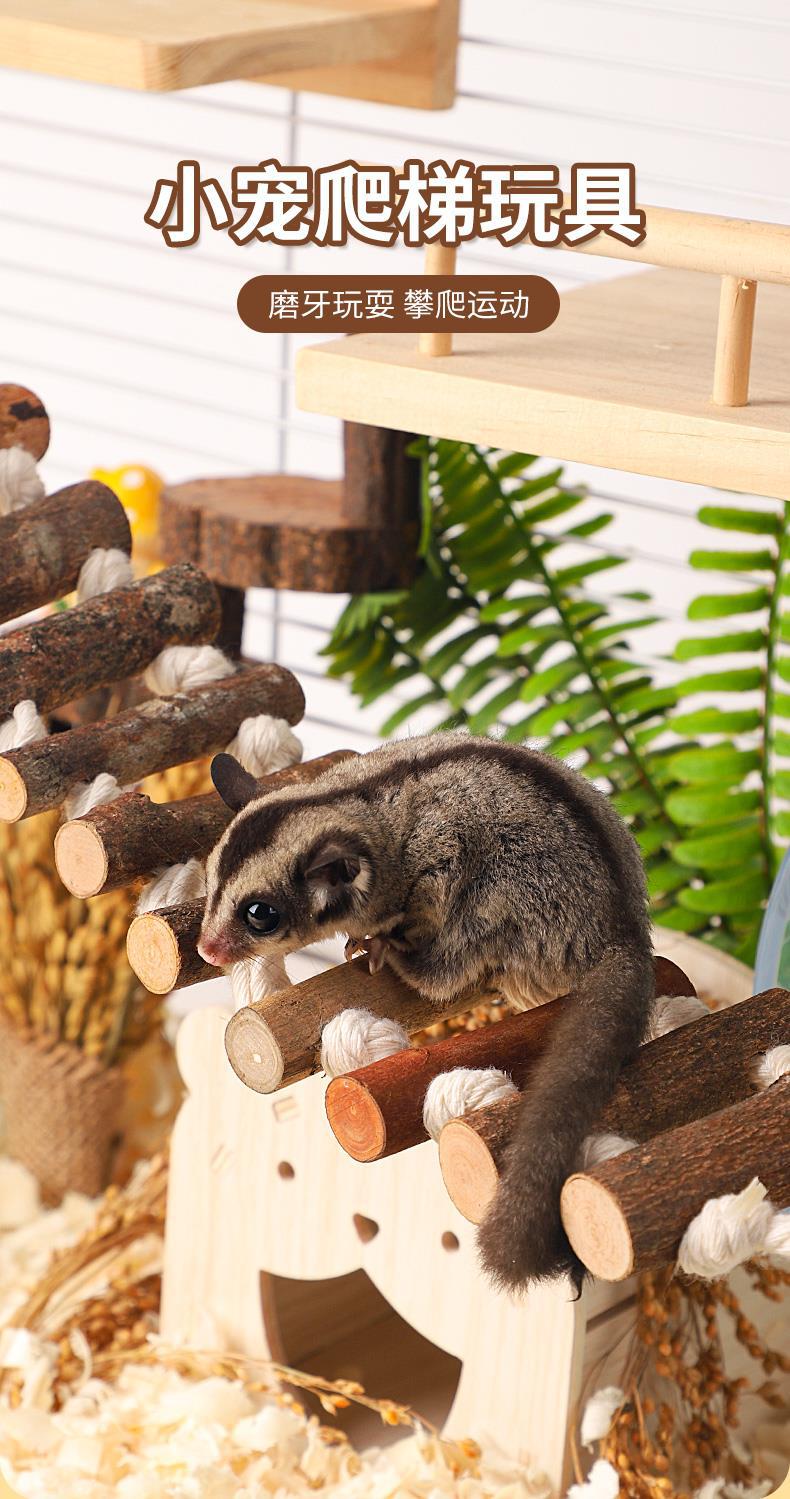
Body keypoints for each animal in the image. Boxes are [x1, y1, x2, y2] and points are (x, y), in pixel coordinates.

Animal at [198, 732, 654, 1290]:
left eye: (260, 914)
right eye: (210, 885)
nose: (207, 950)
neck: (354, 802)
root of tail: (621, 930)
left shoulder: (436, 865)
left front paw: (378, 943)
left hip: (513, 902)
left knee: (460, 948)